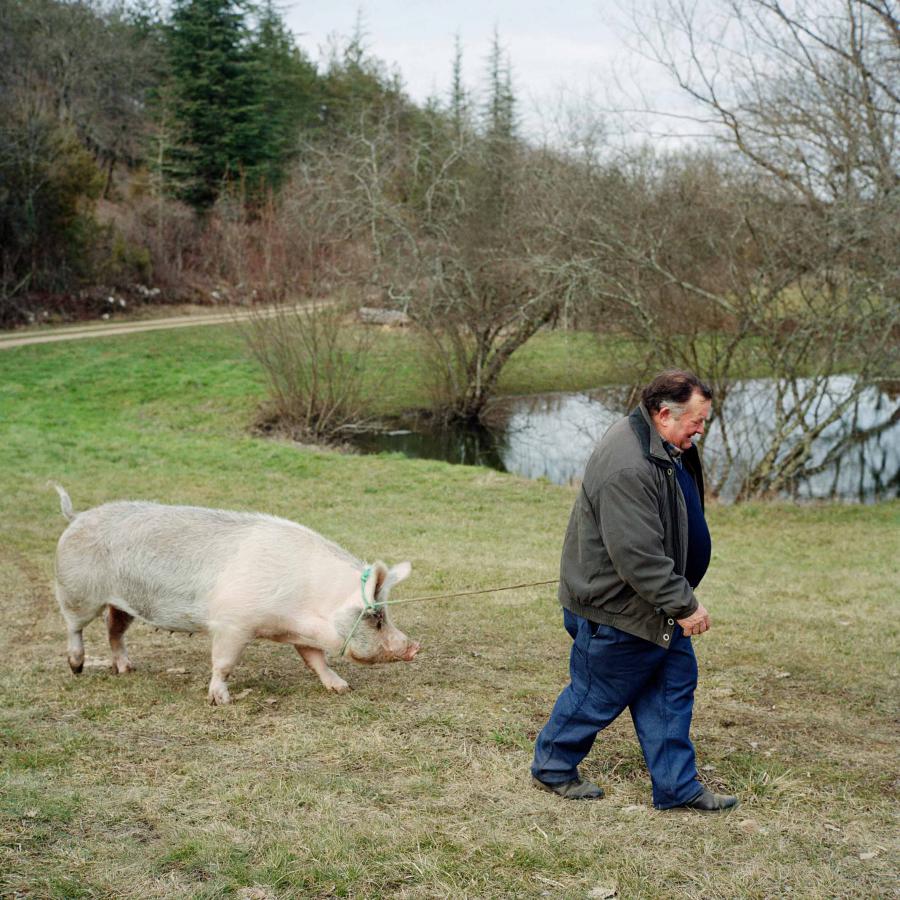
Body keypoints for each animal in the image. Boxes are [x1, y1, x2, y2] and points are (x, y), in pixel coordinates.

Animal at [50, 484, 419, 704]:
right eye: (376, 617)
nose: (414, 646)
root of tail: (77, 516)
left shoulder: (300, 630)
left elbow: (315, 660)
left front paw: (342, 688)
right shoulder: (232, 625)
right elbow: (223, 663)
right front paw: (220, 700)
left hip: (123, 604)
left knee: (113, 630)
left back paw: (128, 670)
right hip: (76, 592)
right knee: (74, 626)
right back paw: (77, 667)